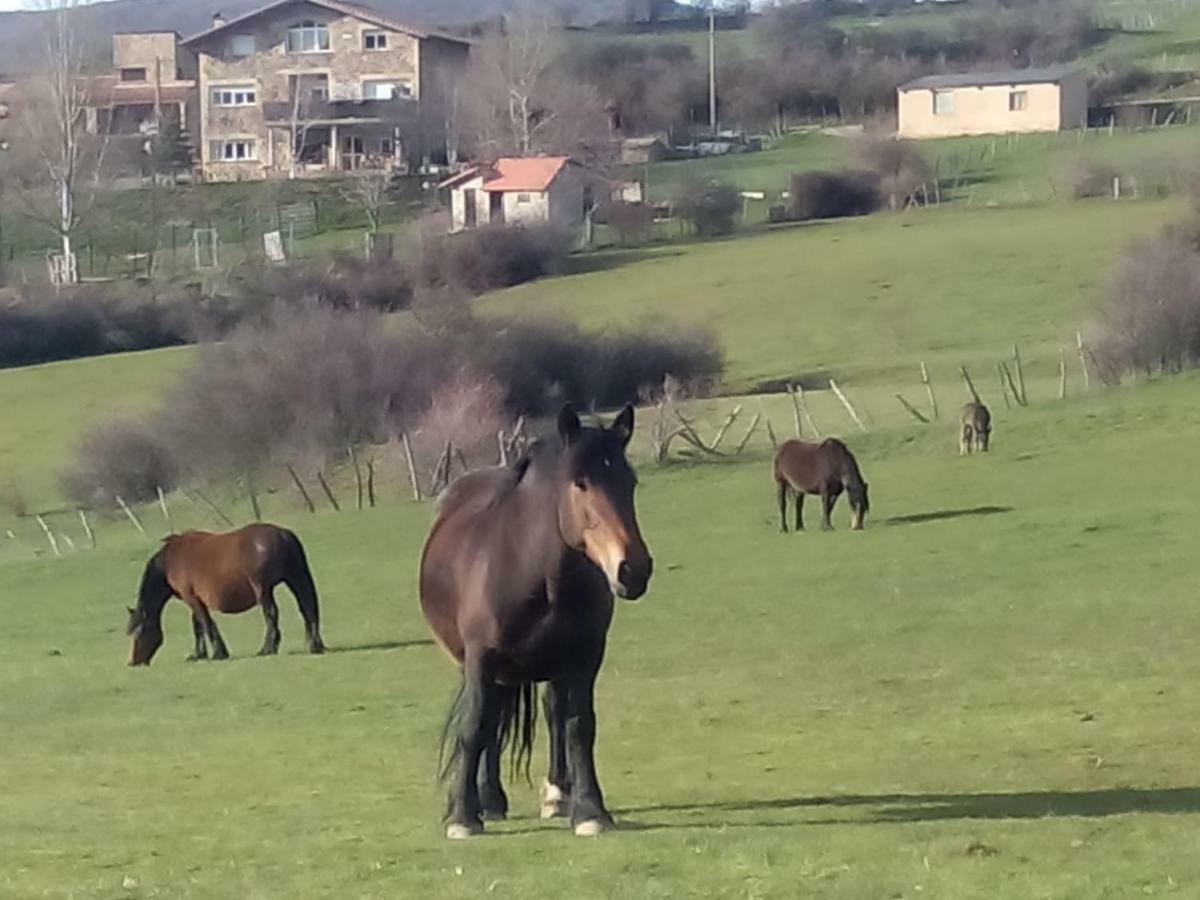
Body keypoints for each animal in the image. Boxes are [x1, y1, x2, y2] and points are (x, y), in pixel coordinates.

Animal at [125, 525, 324, 667]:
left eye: (139, 632)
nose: (132, 662)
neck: (170, 561)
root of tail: (283, 534)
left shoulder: (192, 599)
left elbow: (206, 624)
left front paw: (218, 653)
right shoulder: (195, 601)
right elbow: (197, 627)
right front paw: (199, 654)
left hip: (263, 589)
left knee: (271, 615)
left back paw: (267, 648)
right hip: (295, 579)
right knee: (307, 608)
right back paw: (315, 646)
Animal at [417, 405, 652, 844]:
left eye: (629, 482)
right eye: (580, 484)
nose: (633, 570)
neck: (531, 567)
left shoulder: (585, 657)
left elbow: (579, 725)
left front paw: (590, 810)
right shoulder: (480, 659)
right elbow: (475, 725)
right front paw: (462, 816)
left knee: (551, 712)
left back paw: (557, 795)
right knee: (491, 719)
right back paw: (489, 800)